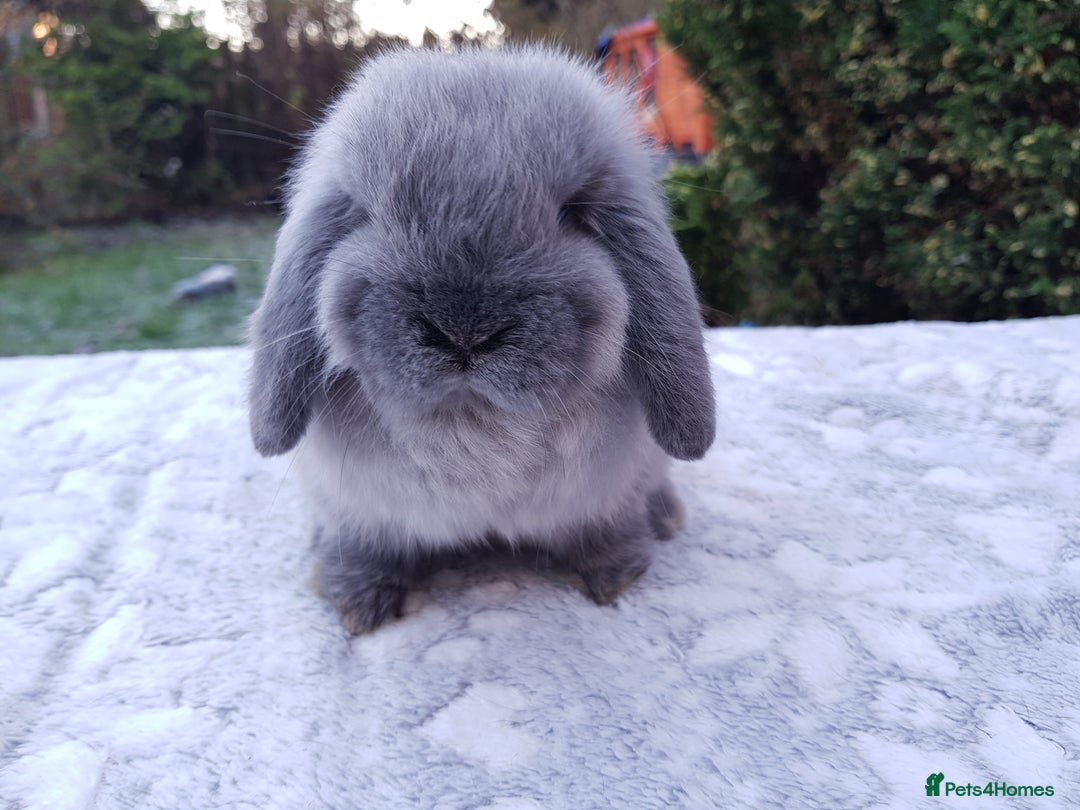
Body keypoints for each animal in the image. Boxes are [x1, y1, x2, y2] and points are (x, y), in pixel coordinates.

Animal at [248, 45, 716, 634]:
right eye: (365, 213)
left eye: (574, 212)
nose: (463, 330)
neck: (473, 418)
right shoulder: (360, 511)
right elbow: (366, 547)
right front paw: (357, 603)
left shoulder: (603, 497)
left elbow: (603, 531)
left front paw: (615, 576)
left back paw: (665, 518)